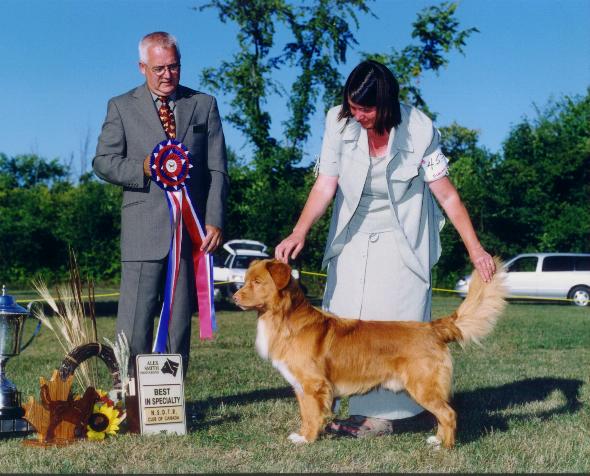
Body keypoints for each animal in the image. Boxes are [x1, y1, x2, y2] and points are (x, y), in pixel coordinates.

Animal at [236, 256, 508, 446]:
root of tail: (433, 328)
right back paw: (437, 440)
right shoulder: (302, 387)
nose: (235, 297)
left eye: (257, 282)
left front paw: (308, 439)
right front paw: (303, 435)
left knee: (448, 414)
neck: (285, 319)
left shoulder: (314, 385)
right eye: (246, 280)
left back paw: (446, 447)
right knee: (442, 415)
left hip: (423, 386)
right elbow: (306, 414)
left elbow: (314, 416)